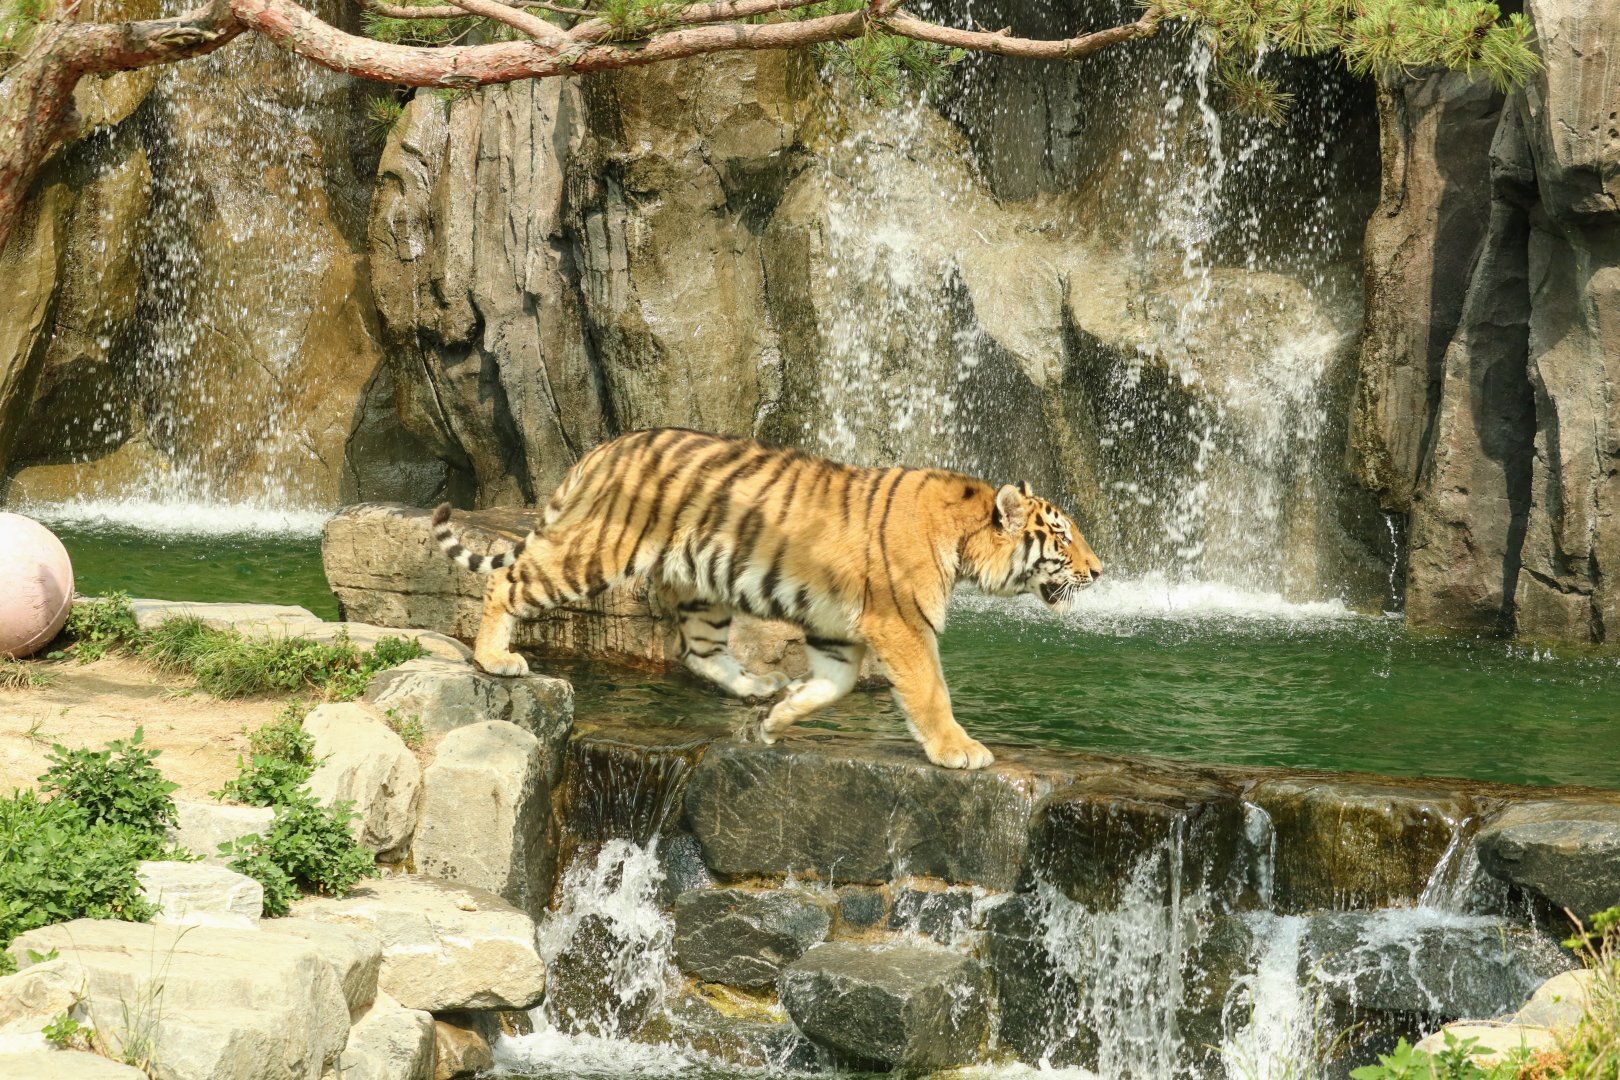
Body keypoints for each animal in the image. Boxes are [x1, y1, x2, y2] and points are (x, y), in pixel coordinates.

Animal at [431, 429, 1103, 770]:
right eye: (1063, 535)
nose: (1100, 571)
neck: (964, 539)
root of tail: (603, 448)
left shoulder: (838, 632)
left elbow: (832, 685)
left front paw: (776, 722)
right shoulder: (903, 625)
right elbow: (931, 693)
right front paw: (960, 751)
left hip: (704, 589)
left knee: (699, 653)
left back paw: (760, 689)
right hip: (594, 551)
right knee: (508, 582)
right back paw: (495, 659)